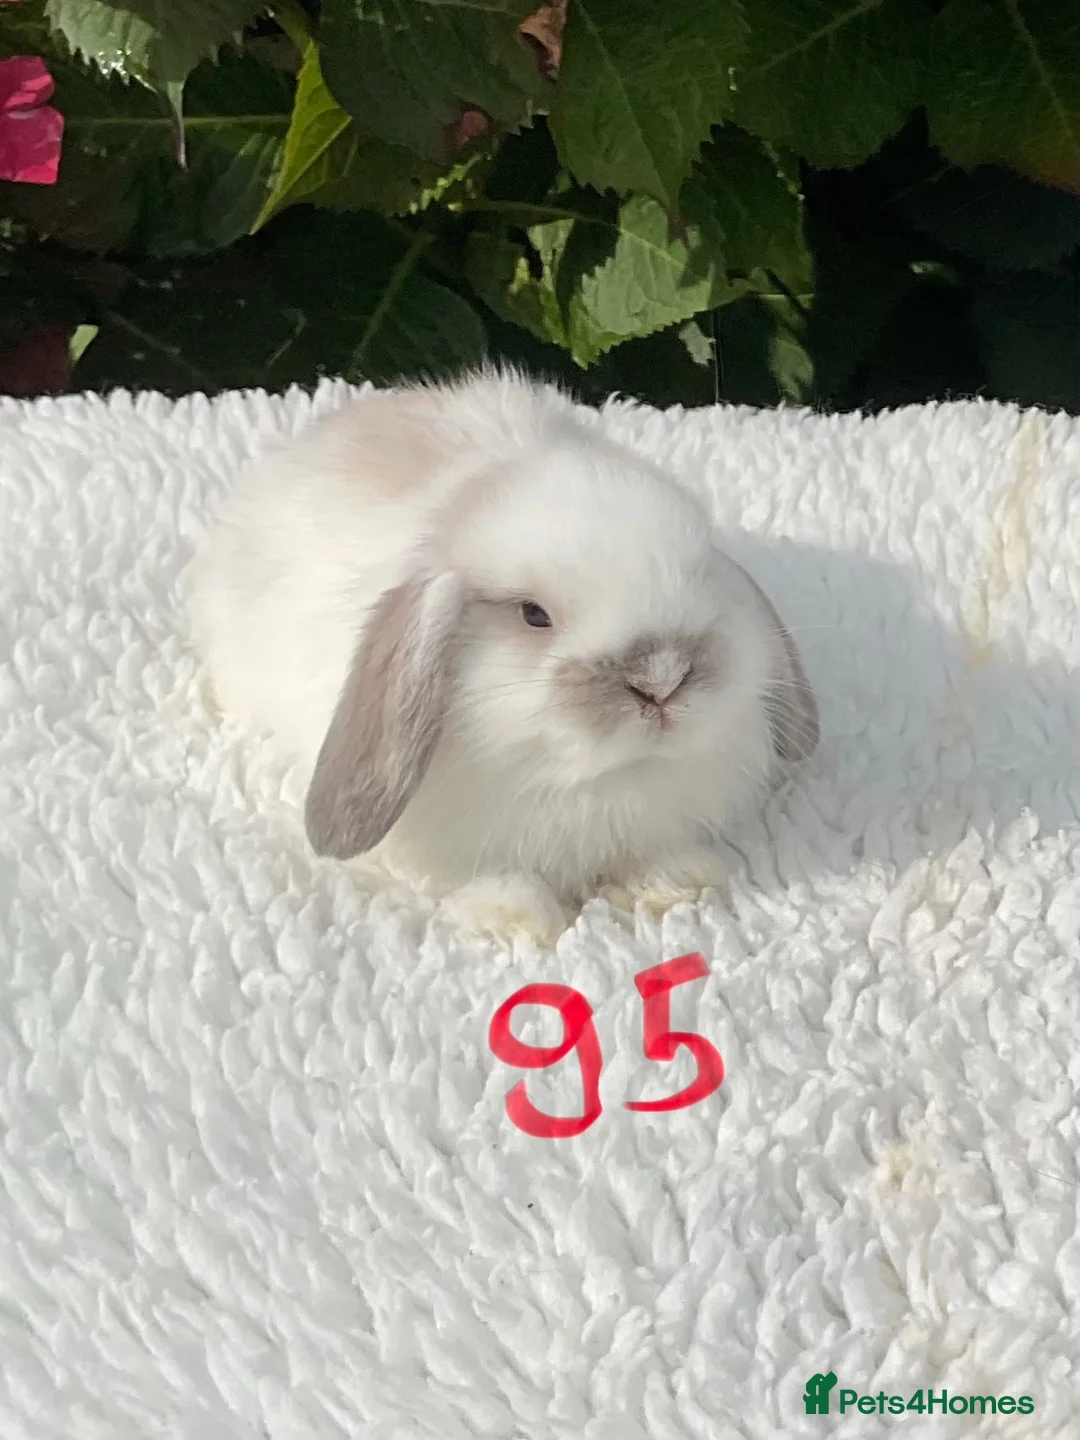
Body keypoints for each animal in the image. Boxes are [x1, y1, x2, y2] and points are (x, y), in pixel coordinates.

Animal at [188, 366, 818, 948]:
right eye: (533, 614)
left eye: (701, 575)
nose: (661, 680)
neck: (597, 781)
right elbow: (486, 877)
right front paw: (517, 919)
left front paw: (675, 884)